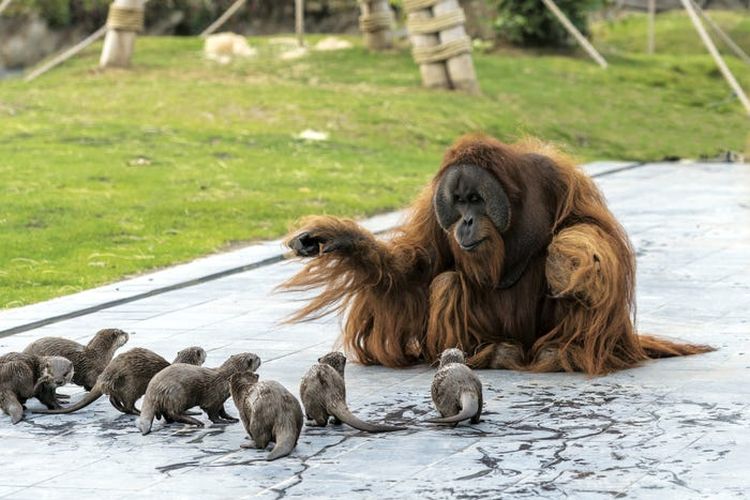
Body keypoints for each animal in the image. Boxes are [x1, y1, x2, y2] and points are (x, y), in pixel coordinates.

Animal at [34, 346, 206, 416]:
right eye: (201, 350)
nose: (204, 350)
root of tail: (106, 374)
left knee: (114, 398)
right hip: (132, 385)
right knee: (128, 403)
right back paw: (137, 412)